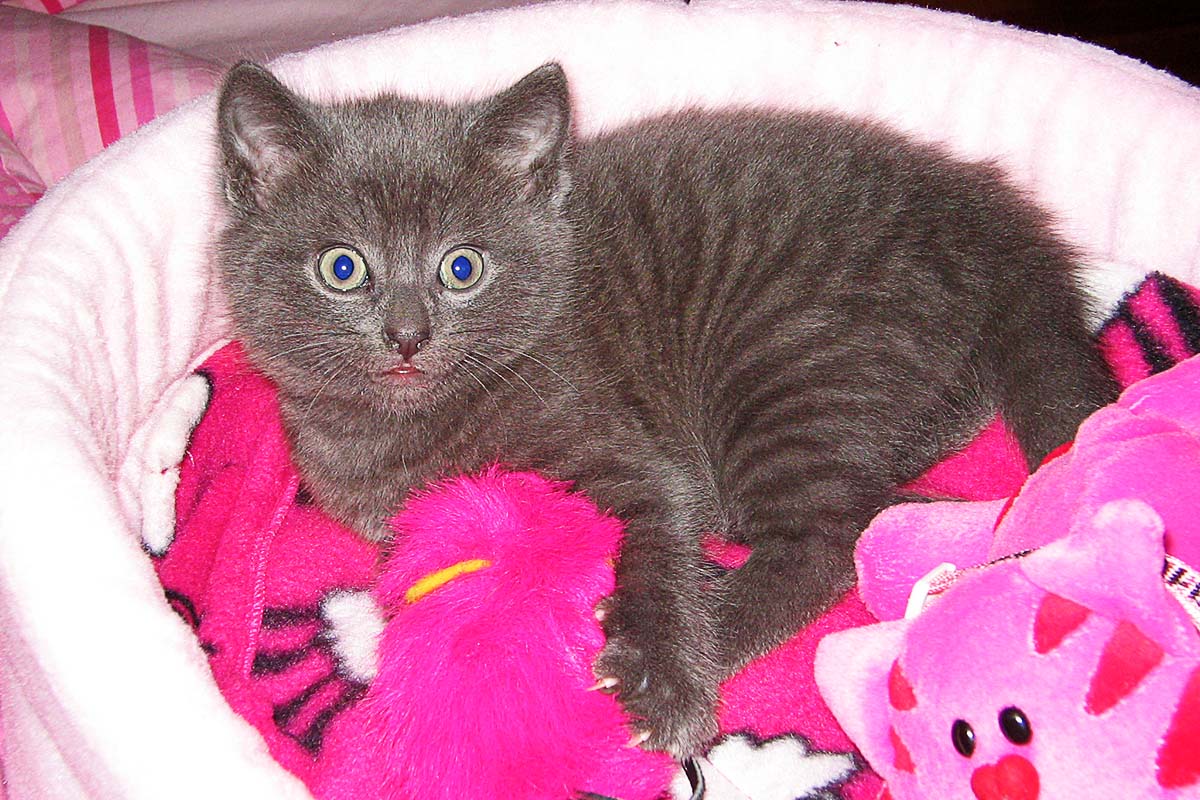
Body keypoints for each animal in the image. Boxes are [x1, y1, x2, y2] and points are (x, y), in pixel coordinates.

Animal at [213, 61, 1113, 758]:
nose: (406, 334)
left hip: (782, 352)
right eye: (342, 268)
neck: (410, 427)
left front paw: (666, 682)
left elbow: (658, 520)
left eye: (462, 268)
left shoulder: (624, 443)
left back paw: (719, 616)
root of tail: (992, 219)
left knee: (825, 538)